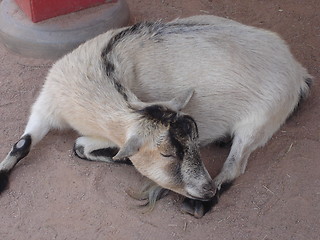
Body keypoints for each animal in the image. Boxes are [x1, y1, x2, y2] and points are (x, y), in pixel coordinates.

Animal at [0, 14, 312, 218]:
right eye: (166, 154)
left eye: (195, 142)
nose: (206, 188)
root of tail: (297, 71)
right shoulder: (46, 105)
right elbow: (27, 144)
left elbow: (78, 146)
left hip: (261, 119)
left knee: (236, 164)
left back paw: (201, 204)